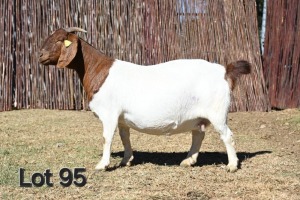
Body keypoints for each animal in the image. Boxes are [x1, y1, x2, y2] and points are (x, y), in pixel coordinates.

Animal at [39, 27, 251, 173]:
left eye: (59, 40)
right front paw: (126, 160)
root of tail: (224, 71)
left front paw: (102, 164)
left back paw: (232, 165)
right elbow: (125, 137)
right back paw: (188, 160)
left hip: (217, 111)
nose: (40, 55)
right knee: (198, 134)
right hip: (198, 116)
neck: (99, 71)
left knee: (227, 135)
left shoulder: (109, 114)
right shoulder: (122, 118)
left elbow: (107, 138)